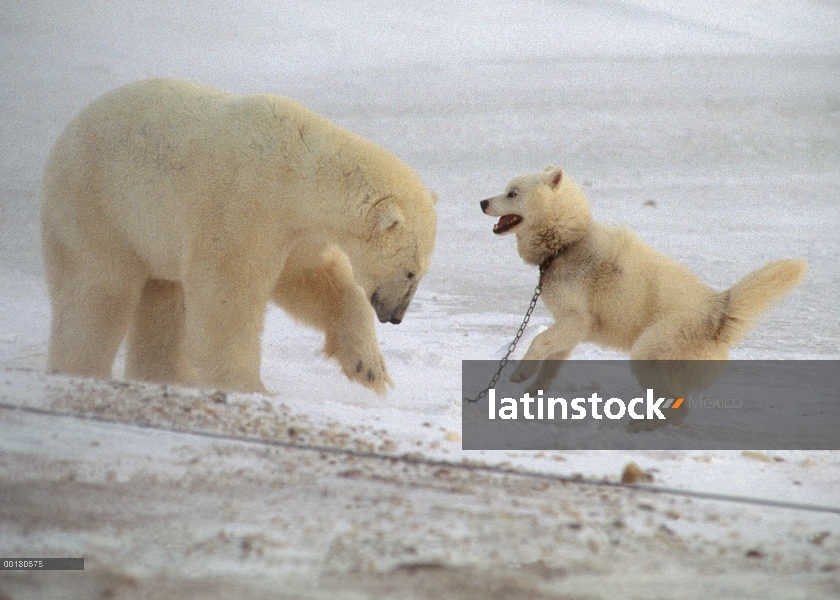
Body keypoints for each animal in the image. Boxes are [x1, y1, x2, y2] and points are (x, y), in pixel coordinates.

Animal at [38, 78, 436, 394]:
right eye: (411, 271)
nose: (395, 317)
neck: (297, 172)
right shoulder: (242, 204)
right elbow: (228, 292)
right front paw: (250, 387)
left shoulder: (295, 229)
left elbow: (313, 280)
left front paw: (369, 368)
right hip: (96, 208)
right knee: (97, 290)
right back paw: (80, 370)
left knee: (163, 296)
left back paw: (172, 376)